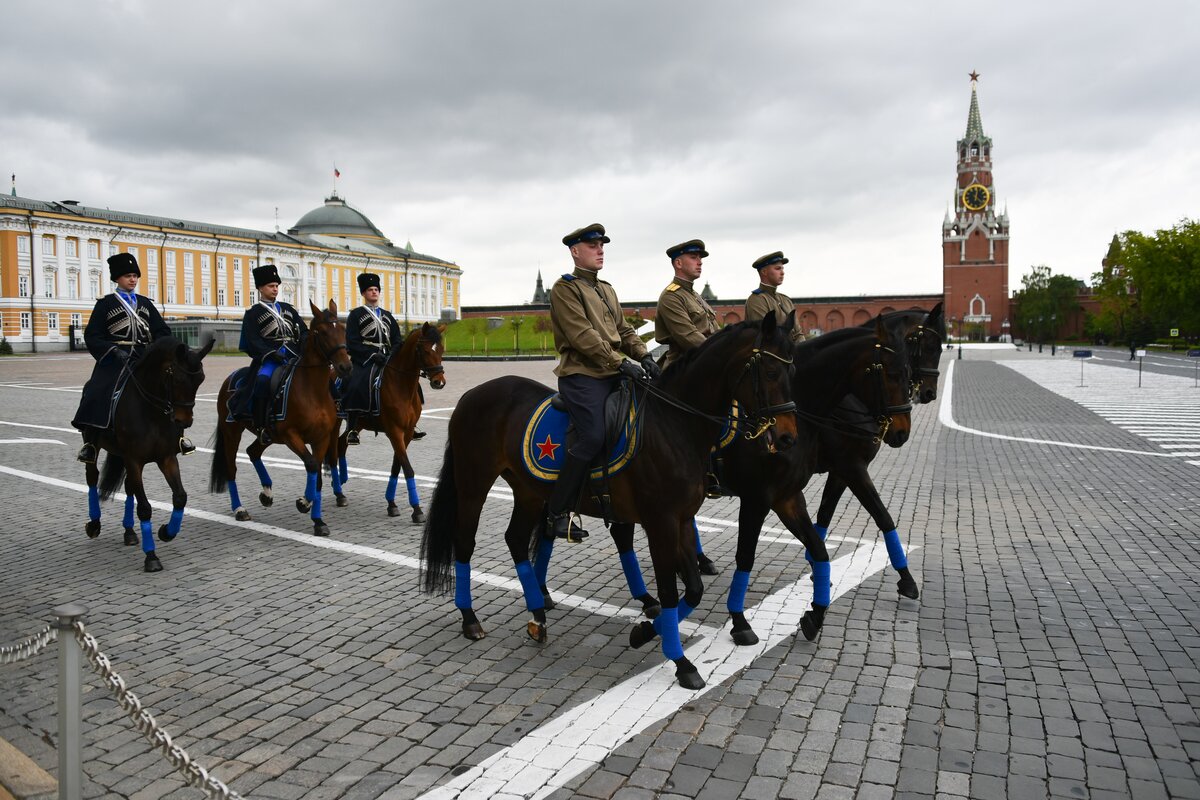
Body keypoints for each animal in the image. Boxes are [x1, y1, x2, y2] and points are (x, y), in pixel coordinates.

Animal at [84, 335, 213, 573]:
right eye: (177, 379)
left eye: (201, 379)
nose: (184, 421)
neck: (151, 412)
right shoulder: (134, 460)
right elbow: (144, 508)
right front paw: (151, 556)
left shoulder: (166, 458)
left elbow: (180, 497)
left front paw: (167, 532)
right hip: (94, 446)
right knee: (92, 478)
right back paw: (94, 524)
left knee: (128, 488)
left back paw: (129, 532)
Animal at [208, 299, 350, 537]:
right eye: (321, 333)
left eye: (342, 329)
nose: (345, 367)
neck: (312, 391)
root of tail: (231, 377)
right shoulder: (291, 435)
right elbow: (312, 464)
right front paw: (304, 502)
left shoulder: (321, 438)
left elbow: (318, 476)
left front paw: (317, 519)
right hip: (232, 432)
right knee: (231, 468)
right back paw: (239, 508)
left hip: (268, 435)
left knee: (253, 452)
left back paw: (267, 493)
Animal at [331, 321, 448, 522]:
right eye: (424, 350)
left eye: (440, 349)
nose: (439, 382)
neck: (401, 385)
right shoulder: (394, 431)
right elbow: (407, 468)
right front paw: (417, 510)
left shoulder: (406, 433)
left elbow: (396, 466)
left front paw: (391, 504)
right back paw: (337, 491)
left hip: (357, 424)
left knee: (341, 444)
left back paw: (340, 489)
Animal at [417, 311, 801, 690]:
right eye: (770, 371)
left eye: (792, 370)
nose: (787, 437)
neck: (673, 425)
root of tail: (473, 394)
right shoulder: (660, 522)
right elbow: (670, 591)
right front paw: (681, 662)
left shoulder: (680, 519)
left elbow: (692, 589)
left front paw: (646, 631)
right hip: (473, 483)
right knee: (465, 542)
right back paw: (471, 619)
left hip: (527, 491)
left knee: (515, 539)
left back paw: (537, 615)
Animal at [806, 303, 945, 597]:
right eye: (929, 346)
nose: (929, 393)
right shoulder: (852, 467)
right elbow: (883, 516)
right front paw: (907, 578)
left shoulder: (840, 472)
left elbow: (824, 515)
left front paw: (815, 565)